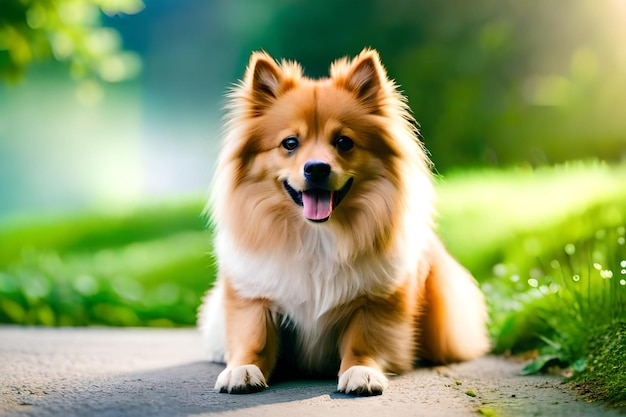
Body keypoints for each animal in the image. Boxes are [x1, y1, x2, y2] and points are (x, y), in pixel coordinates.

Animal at [197, 48, 490, 394]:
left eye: (343, 142)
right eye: (290, 143)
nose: (316, 168)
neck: (318, 234)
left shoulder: (375, 302)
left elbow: (363, 342)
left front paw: (361, 372)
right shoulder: (254, 298)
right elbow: (254, 338)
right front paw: (242, 369)